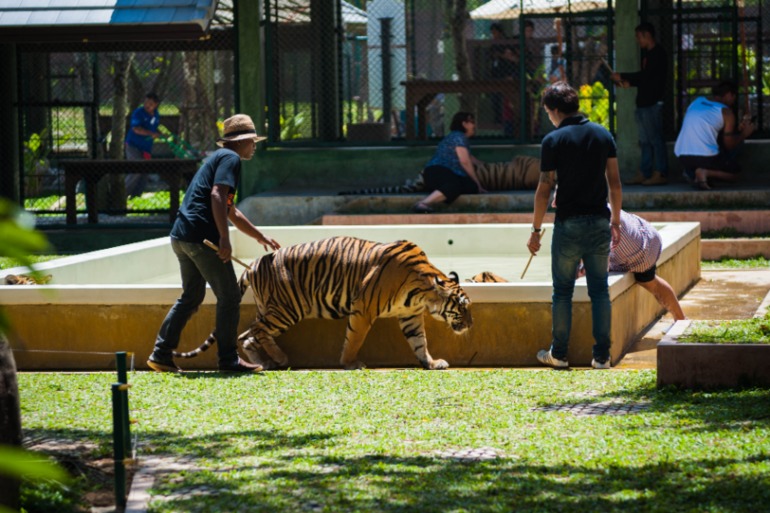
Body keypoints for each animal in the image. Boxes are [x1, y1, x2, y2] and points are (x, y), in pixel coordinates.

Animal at [174, 236, 472, 370]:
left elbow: (419, 341)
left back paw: (265, 362)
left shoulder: (410, 315)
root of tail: (255, 264)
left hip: (269, 308)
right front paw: (350, 363)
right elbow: (354, 339)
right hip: (287, 310)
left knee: (246, 334)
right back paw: (280, 358)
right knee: (255, 332)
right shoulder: (363, 309)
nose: (471, 325)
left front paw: (431, 362)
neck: (423, 292)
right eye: (462, 307)